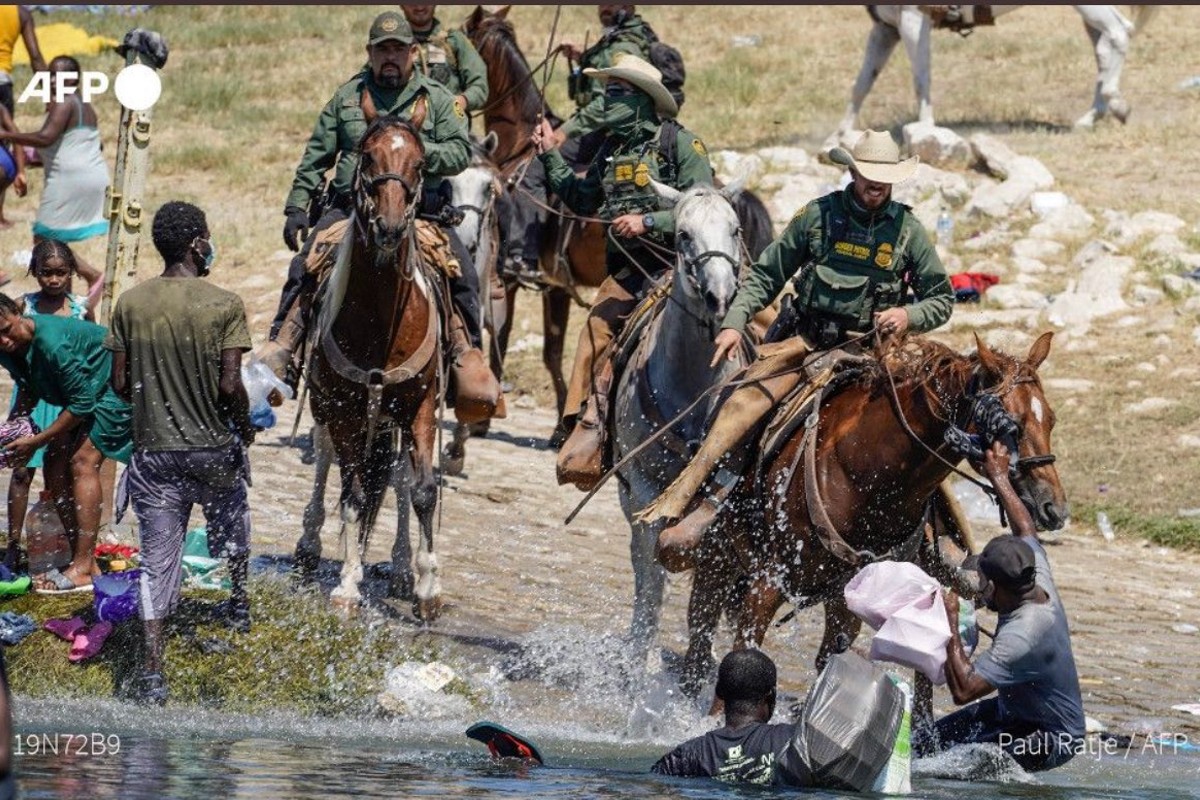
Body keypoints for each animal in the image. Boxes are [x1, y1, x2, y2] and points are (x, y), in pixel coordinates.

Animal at [295, 112, 446, 623]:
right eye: (367, 157)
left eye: (420, 163)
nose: (391, 227)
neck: (381, 323)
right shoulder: (344, 411)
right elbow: (354, 497)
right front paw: (347, 584)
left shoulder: (420, 406)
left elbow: (422, 491)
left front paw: (428, 587)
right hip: (329, 409)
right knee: (326, 458)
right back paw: (310, 544)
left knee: (398, 478)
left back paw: (400, 567)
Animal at [614, 181, 744, 681]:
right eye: (682, 234)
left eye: (735, 228)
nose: (719, 296)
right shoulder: (646, 488)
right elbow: (653, 576)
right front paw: (640, 656)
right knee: (642, 564)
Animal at [681, 331, 1065, 695]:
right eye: (1012, 425)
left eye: (1051, 420)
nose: (1054, 507)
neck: (867, 473)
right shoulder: (768, 581)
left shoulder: (846, 599)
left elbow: (828, 664)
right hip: (716, 554)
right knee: (698, 642)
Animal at [835, 5, 1161, 133]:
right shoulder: (885, 28)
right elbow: (861, 84)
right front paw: (839, 137)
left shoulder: (914, 20)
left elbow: (921, 80)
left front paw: (925, 131)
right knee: (1102, 49)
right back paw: (1093, 116)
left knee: (1118, 34)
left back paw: (1115, 103)